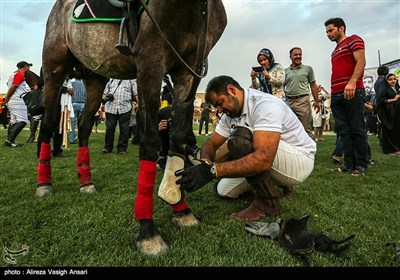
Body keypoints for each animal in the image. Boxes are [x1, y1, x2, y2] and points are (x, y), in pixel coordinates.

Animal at [37, 0, 227, 255]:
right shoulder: (150, 62)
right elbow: (150, 142)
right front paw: (148, 230)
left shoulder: (188, 69)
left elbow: (178, 139)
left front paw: (180, 206)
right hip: (54, 68)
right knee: (48, 124)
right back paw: (44, 183)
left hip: (95, 77)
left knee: (85, 127)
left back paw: (86, 181)